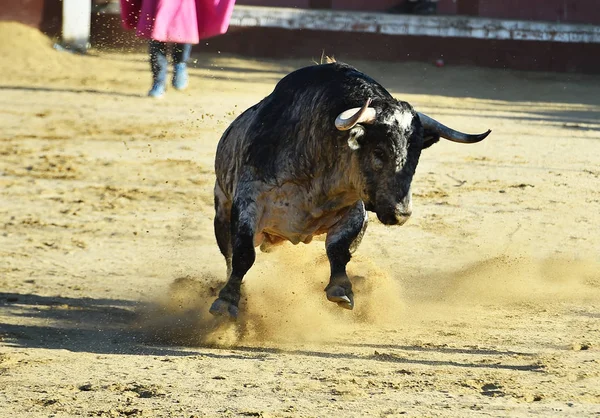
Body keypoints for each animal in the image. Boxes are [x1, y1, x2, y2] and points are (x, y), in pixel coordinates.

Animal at [209, 60, 490, 318]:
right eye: (379, 151)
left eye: (416, 156)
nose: (401, 213)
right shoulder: (249, 202)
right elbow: (243, 255)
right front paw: (227, 300)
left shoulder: (356, 211)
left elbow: (339, 249)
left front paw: (341, 289)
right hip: (221, 212)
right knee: (229, 255)